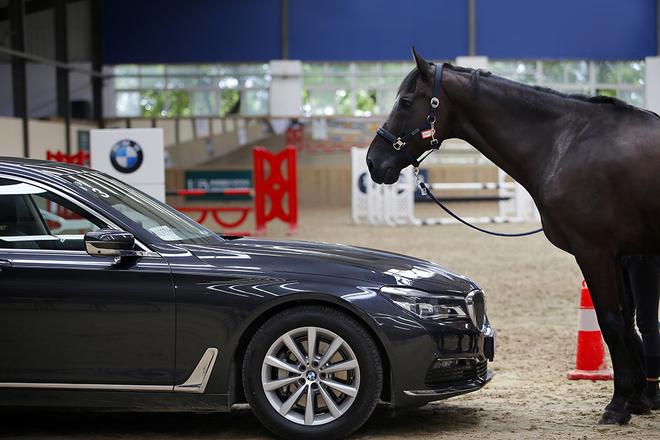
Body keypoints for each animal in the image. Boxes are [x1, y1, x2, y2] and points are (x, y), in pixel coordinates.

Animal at [366, 48, 660, 425]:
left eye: (404, 101)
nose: (373, 161)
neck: (568, 143)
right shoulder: (615, 255)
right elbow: (624, 322)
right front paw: (634, 399)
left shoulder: (594, 252)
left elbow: (611, 322)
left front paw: (617, 404)